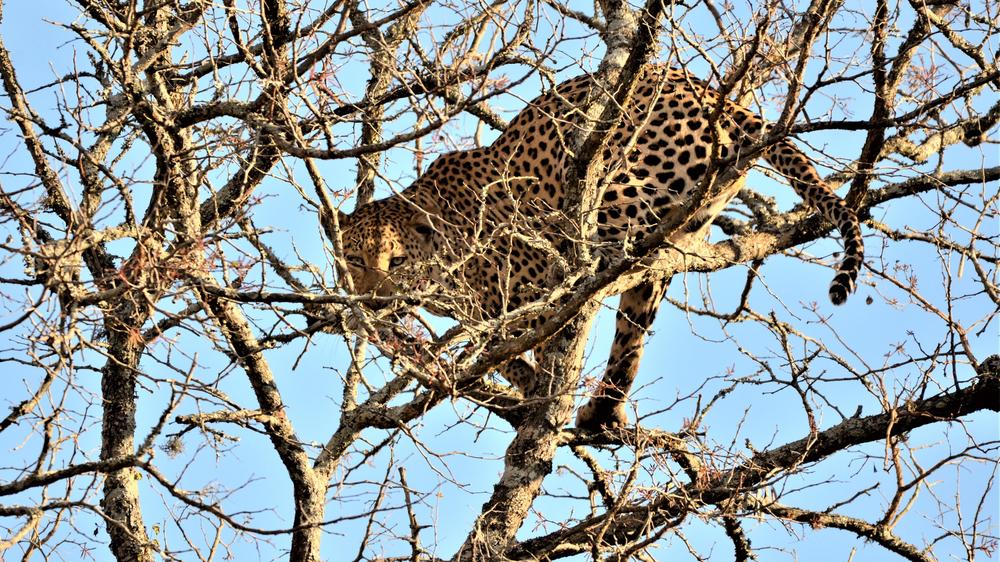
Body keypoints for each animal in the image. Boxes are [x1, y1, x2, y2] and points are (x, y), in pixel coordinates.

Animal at [337, 66, 864, 430]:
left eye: (396, 260)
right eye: (355, 260)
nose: (373, 301)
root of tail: (715, 95)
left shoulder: (519, 293)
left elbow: (514, 344)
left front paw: (532, 385)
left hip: (612, 188)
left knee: (601, 260)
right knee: (634, 326)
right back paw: (604, 409)